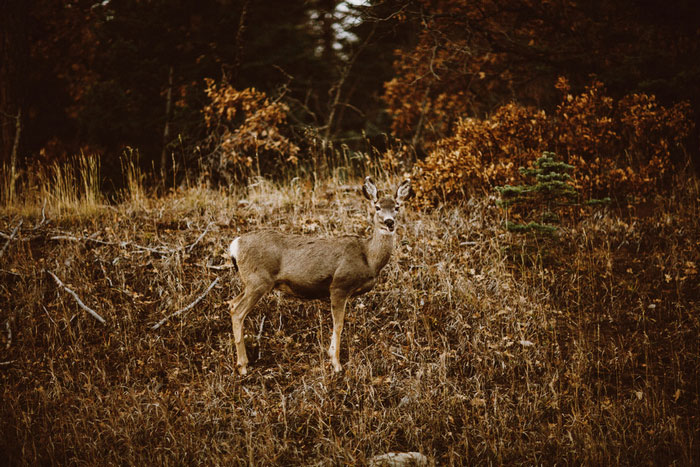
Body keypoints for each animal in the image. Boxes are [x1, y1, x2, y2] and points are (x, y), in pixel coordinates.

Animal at [227, 176, 412, 376]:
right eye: (377, 207)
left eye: (397, 206)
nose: (389, 222)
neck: (368, 258)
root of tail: (235, 244)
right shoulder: (339, 285)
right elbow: (338, 325)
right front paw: (336, 364)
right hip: (258, 280)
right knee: (238, 312)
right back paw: (242, 366)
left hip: (250, 282)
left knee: (232, 303)